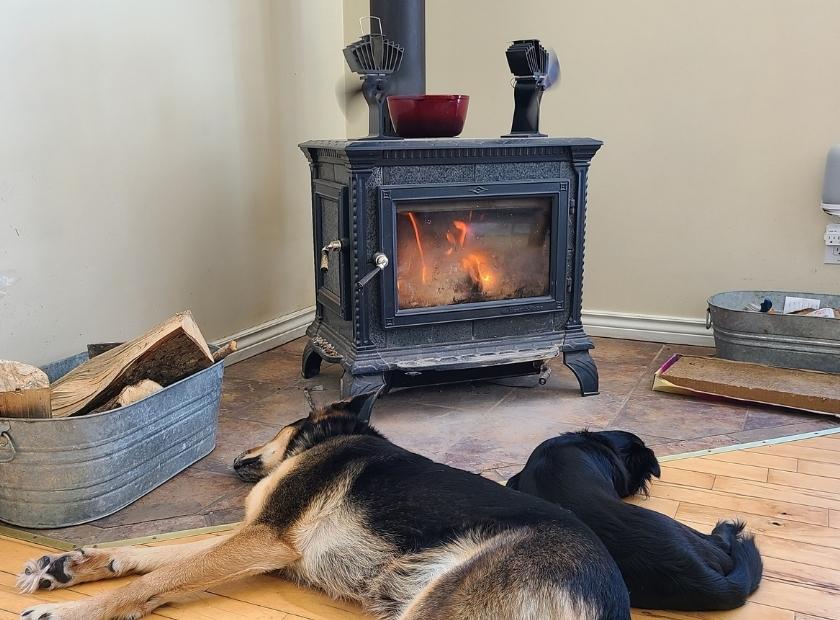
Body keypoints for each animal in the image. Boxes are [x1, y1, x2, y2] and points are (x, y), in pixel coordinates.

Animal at [16, 398, 632, 620]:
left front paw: (77, 611)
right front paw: (70, 565)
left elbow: (160, 575)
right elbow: (162, 558)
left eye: (276, 424)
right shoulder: (259, 537)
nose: (236, 453)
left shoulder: (264, 537)